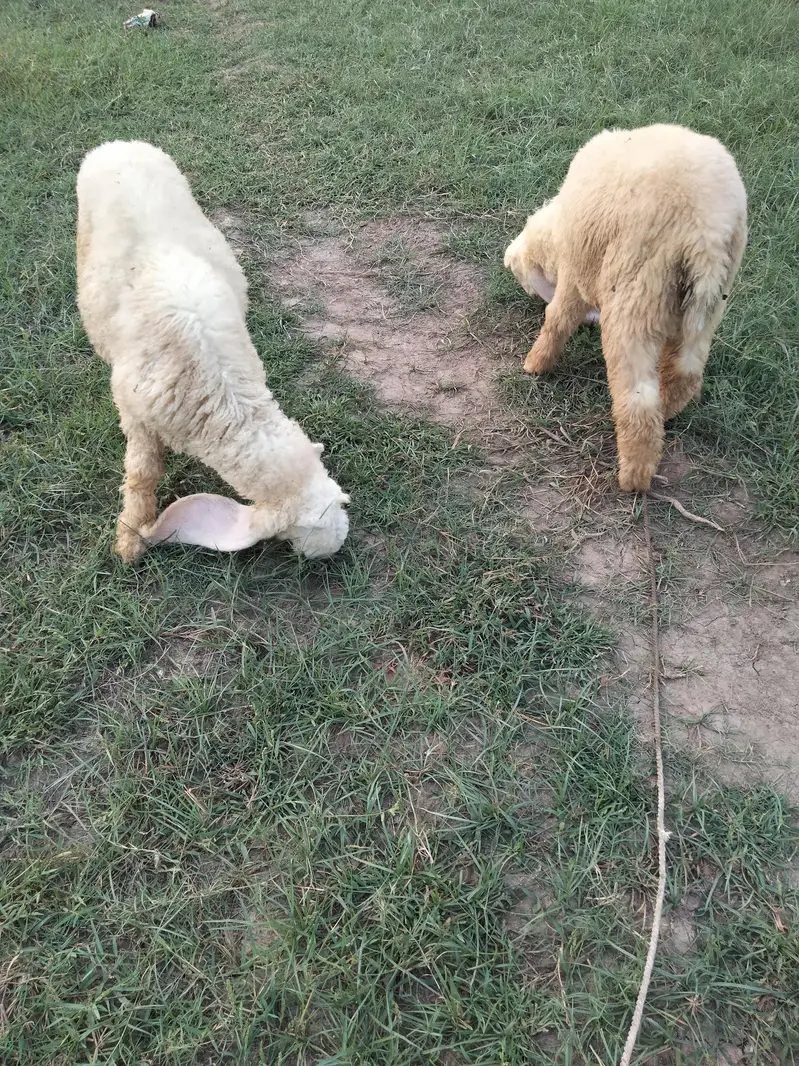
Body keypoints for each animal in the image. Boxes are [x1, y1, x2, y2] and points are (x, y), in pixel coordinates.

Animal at [76, 140, 350, 563]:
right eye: (297, 538)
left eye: (340, 500)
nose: (339, 542)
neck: (218, 383)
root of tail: (116, 143)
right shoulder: (134, 411)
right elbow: (142, 474)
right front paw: (130, 537)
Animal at [504, 123, 747, 491]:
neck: (559, 230)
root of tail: (707, 237)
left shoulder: (575, 275)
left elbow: (557, 319)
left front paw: (535, 364)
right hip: (706, 304)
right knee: (687, 371)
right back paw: (668, 411)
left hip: (637, 293)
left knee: (637, 399)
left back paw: (633, 476)